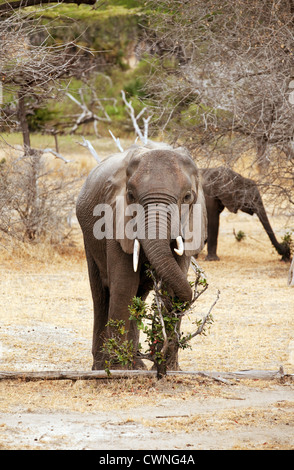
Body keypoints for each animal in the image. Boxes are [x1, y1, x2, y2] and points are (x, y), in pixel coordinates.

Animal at [77, 143, 208, 370]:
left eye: (188, 197)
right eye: (130, 196)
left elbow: (169, 289)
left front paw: (168, 369)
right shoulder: (115, 220)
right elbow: (123, 286)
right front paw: (118, 370)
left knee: (139, 295)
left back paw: (137, 365)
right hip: (88, 236)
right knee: (101, 294)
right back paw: (102, 366)